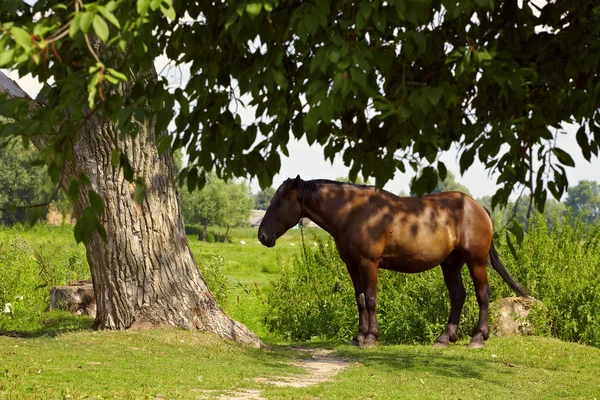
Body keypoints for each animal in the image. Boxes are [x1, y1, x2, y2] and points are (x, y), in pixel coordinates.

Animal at [255, 175, 528, 346]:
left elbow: (371, 299)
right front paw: (359, 336)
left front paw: (371, 338)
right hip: (451, 263)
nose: (262, 236)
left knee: (482, 295)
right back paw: (444, 338)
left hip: (476, 261)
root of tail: (478, 207)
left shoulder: (369, 263)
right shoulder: (352, 265)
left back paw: (478, 338)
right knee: (458, 296)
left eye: (279, 201)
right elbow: (360, 299)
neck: (354, 212)